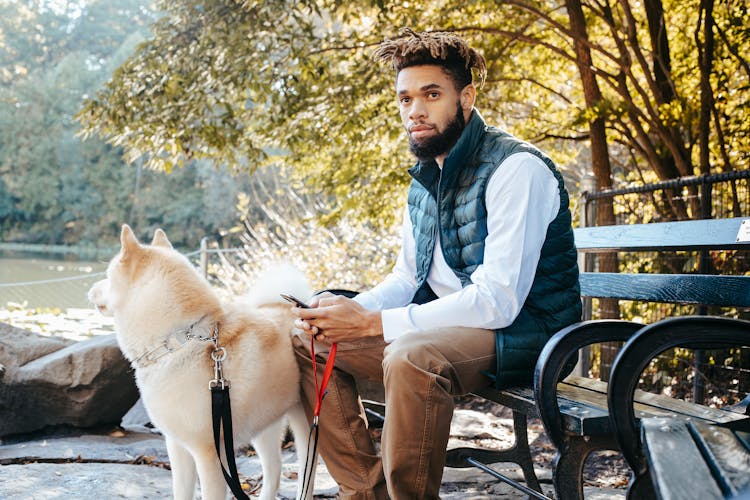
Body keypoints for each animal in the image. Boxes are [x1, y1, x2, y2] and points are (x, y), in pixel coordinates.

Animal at [89, 226, 316, 500]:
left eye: (107, 276)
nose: (90, 288)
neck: (177, 342)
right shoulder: (178, 447)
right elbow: (181, 492)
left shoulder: (209, 455)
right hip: (265, 425)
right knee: (274, 471)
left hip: (305, 428)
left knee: (307, 475)